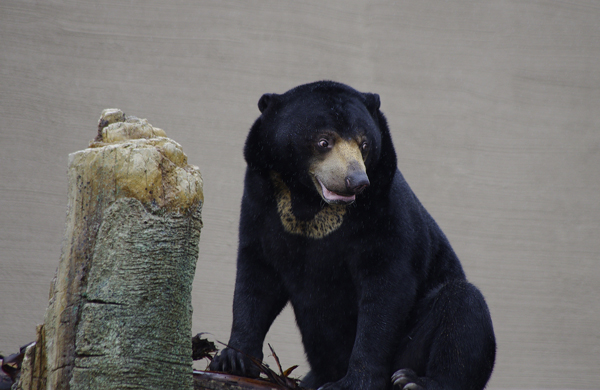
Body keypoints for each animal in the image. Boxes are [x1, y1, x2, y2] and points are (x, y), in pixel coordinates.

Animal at [211, 80, 496, 390]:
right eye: (323, 141)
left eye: (365, 144)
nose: (357, 181)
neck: (310, 202)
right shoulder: (261, 204)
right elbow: (257, 279)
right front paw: (233, 359)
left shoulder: (384, 216)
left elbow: (385, 290)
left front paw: (353, 381)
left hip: (413, 345)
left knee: (463, 306)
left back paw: (413, 381)